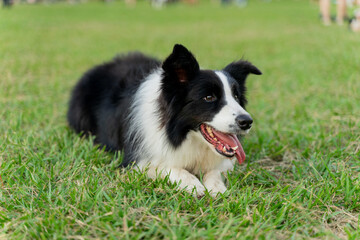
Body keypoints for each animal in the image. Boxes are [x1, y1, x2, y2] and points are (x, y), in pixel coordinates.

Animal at [67, 44, 260, 196]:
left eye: (236, 96)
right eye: (209, 97)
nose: (247, 121)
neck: (182, 135)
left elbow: (215, 171)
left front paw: (216, 188)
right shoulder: (137, 160)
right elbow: (169, 167)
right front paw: (194, 185)